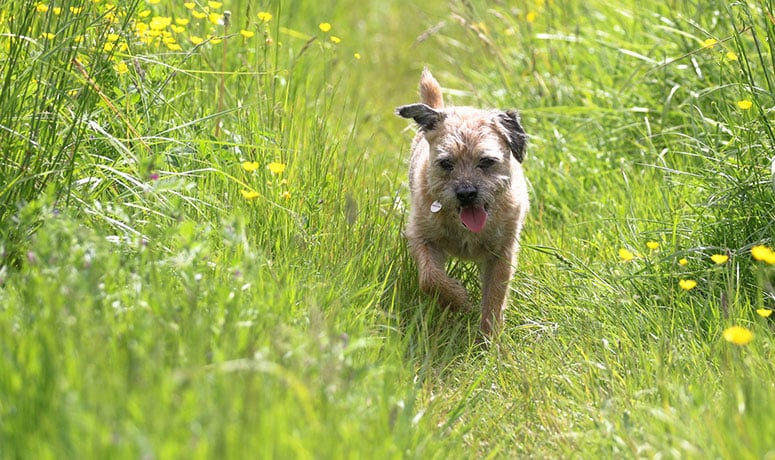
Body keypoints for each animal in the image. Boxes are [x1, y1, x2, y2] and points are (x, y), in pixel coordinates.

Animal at [398, 68, 532, 336]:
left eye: (487, 161)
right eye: (445, 163)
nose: (466, 192)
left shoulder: (502, 254)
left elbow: (494, 299)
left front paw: (490, 339)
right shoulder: (421, 237)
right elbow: (430, 279)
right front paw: (458, 300)